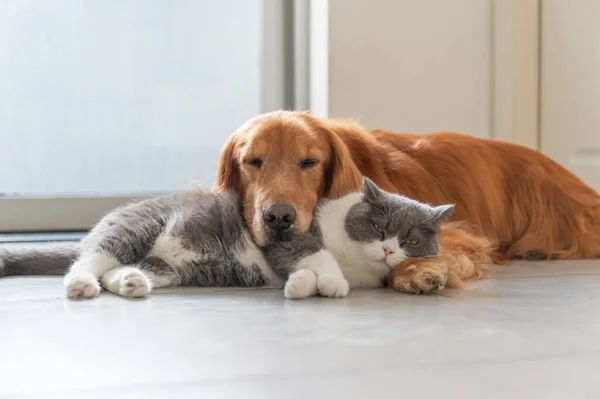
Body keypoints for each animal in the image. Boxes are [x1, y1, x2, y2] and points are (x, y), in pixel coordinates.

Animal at [0, 178, 452, 300]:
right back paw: (81, 285)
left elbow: (303, 273)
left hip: (167, 269)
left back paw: (130, 283)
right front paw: (330, 282)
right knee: (89, 260)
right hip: (132, 230)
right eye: (379, 228)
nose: (390, 248)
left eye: (412, 241)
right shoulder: (288, 238)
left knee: (120, 272)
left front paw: (301, 286)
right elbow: (316, 255)